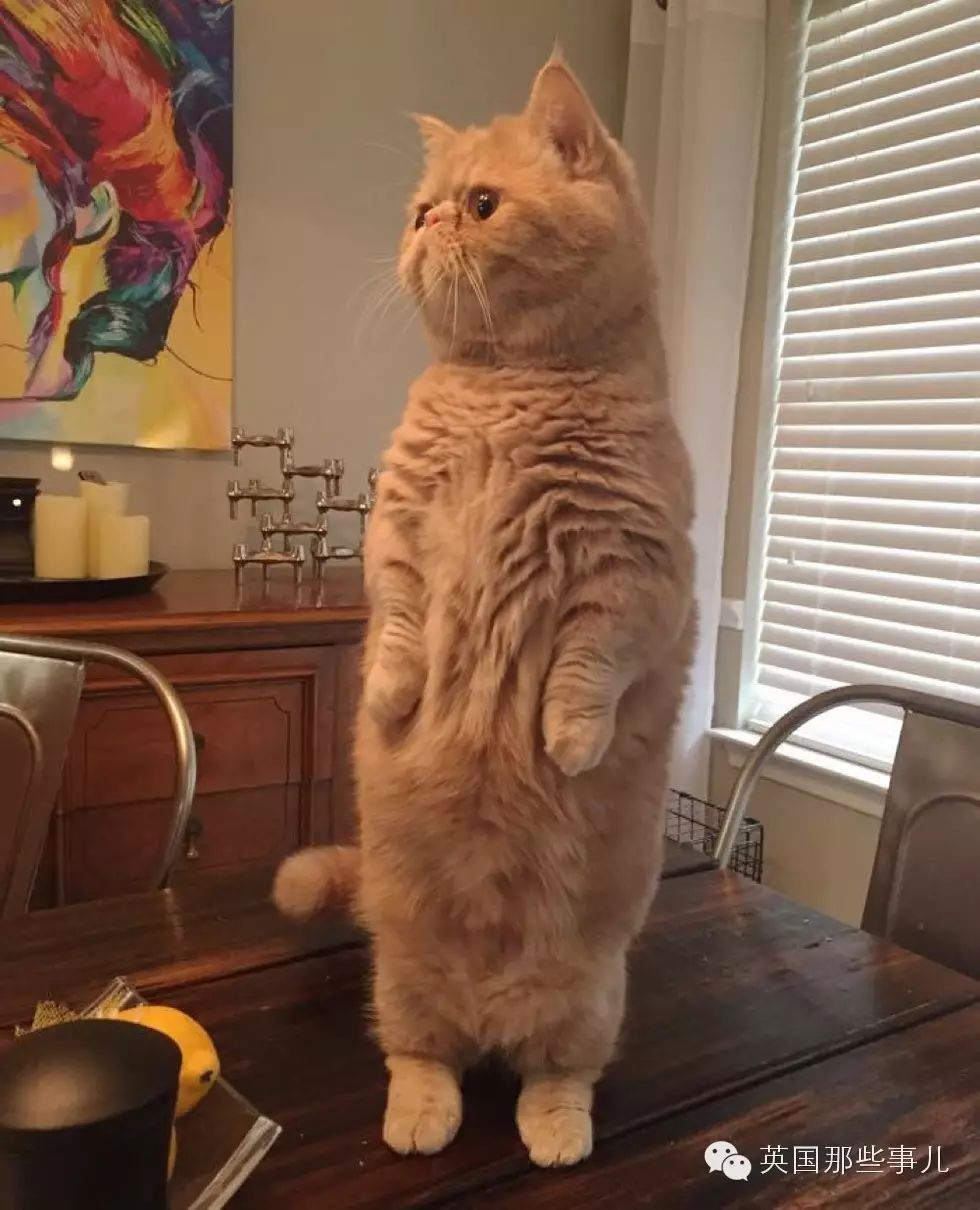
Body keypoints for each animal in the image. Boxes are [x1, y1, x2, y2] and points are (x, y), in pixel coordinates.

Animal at [274, 54, 695, 1169]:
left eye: (482, 205)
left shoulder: (638, 574)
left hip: (590, 1001)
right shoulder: (397, 531)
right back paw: (422, 1116)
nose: (426, 227)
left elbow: (587, 667)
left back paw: (554, 1129)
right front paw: (391, 693)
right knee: (420, 1059)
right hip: (404, 984)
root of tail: (490, 1011)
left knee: (557, 1076)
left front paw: (569, 739)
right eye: (419, 208)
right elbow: (400, 621)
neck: (507, 391)